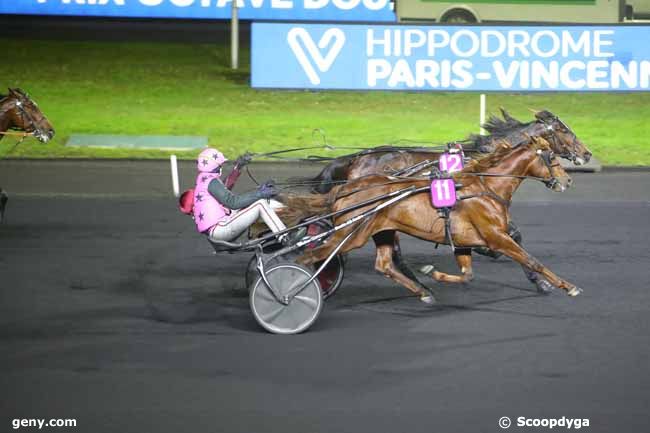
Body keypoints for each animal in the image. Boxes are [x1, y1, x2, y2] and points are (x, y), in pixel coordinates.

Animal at [284, 137, 576, 302]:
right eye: (552, 156)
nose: (568, 180)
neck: (485, 186)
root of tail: (345, 188)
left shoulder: (463, 241)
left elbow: (467, 275)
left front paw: (432, 273)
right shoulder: (496, 236)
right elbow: (531, 259)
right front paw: (566, 286)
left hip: (382, 230)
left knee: (384, 264)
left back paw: (423, 291)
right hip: (351, 234)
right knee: (312, 256)